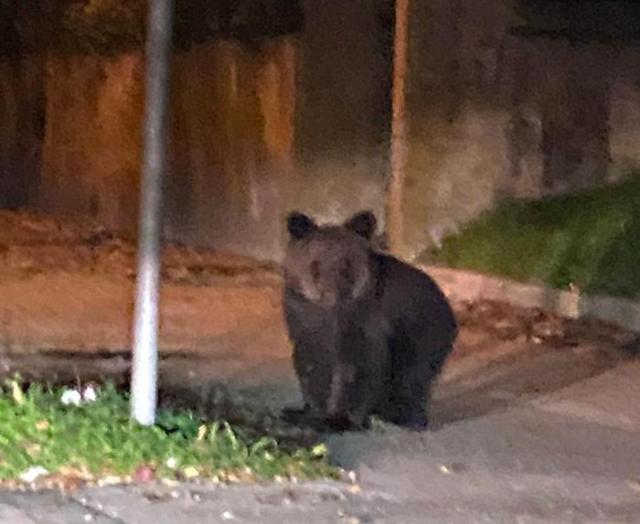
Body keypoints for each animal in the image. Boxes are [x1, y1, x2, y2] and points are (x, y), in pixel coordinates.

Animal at [281, 209, 458, 432]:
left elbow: (358, 369)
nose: (331, 295)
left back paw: (406, 417)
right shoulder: (304, 322)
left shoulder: (366, 327)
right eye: (315, 265)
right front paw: (311, 413)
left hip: (426, 335)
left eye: (346, 264)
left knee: (413, 379)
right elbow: (311, 367)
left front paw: (343, 419)